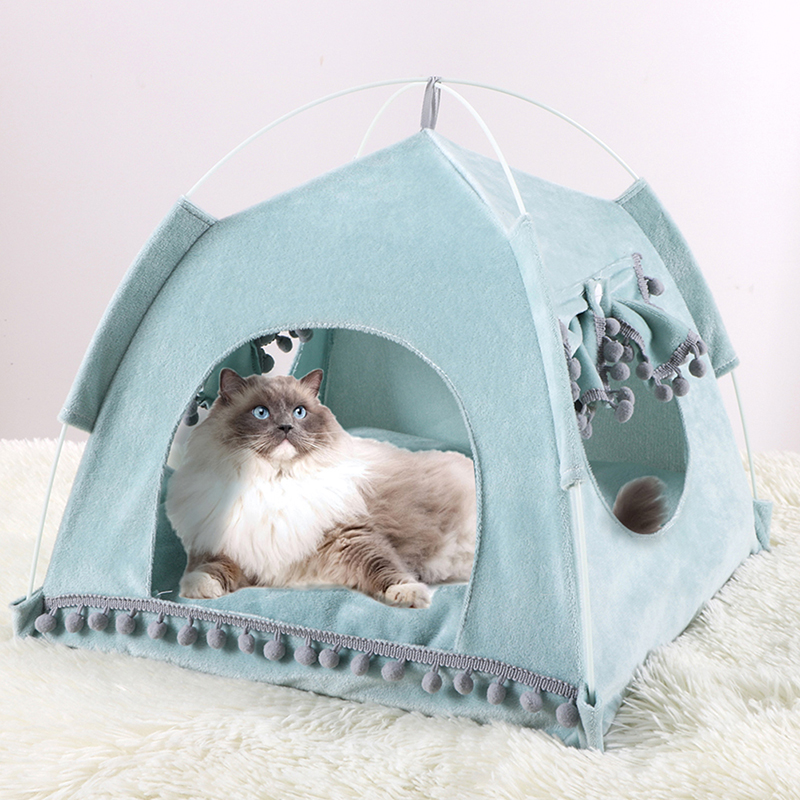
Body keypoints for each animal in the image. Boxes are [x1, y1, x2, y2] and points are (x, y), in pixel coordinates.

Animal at [166, 368, 666, 608]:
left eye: (301, 413)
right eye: (262, 413)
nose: (287, 428)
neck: (276, 485)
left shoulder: (352, 537)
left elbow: (386, 570)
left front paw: (411, 597)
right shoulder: (234, 549)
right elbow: (209, 570)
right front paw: (196, 590)